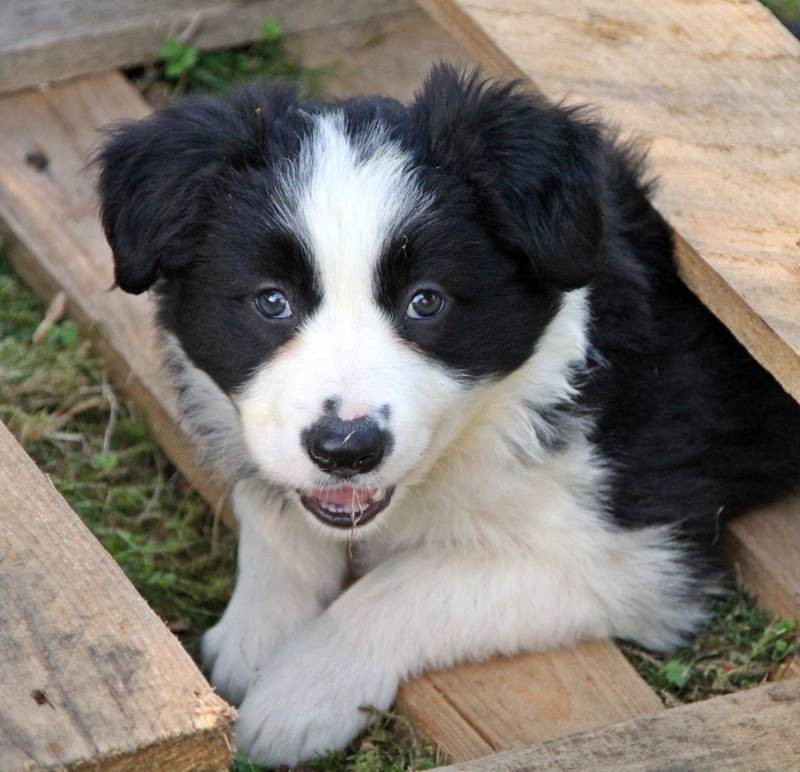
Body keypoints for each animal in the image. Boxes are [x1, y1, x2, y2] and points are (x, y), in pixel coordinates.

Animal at [95, 66, 800, 764]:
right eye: (272, 301)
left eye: (425, 302)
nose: (346, 449)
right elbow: (273, 508)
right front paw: (256, 631)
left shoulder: (634, 552)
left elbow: (410, 581)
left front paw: (297, 694)